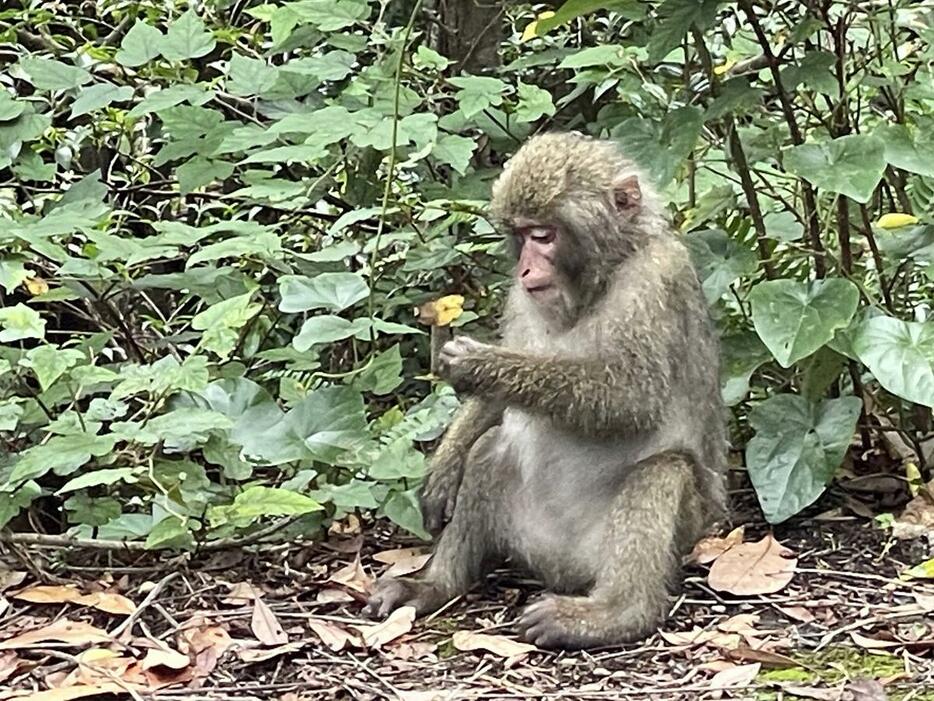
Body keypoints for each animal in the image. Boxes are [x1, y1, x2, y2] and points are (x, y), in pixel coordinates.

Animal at [366, 130, 732, 644]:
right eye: (520, 236)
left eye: (544, 235)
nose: (524, 269)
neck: (604, 277)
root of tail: (562, 569)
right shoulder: (521, 300)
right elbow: (495, 409)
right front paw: (445, 465)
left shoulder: (656, 281)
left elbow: (631, 399)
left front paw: (481, 364)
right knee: (491, 449)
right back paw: (437, 586)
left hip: (675, 533)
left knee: (661, 472)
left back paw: (615, 614)